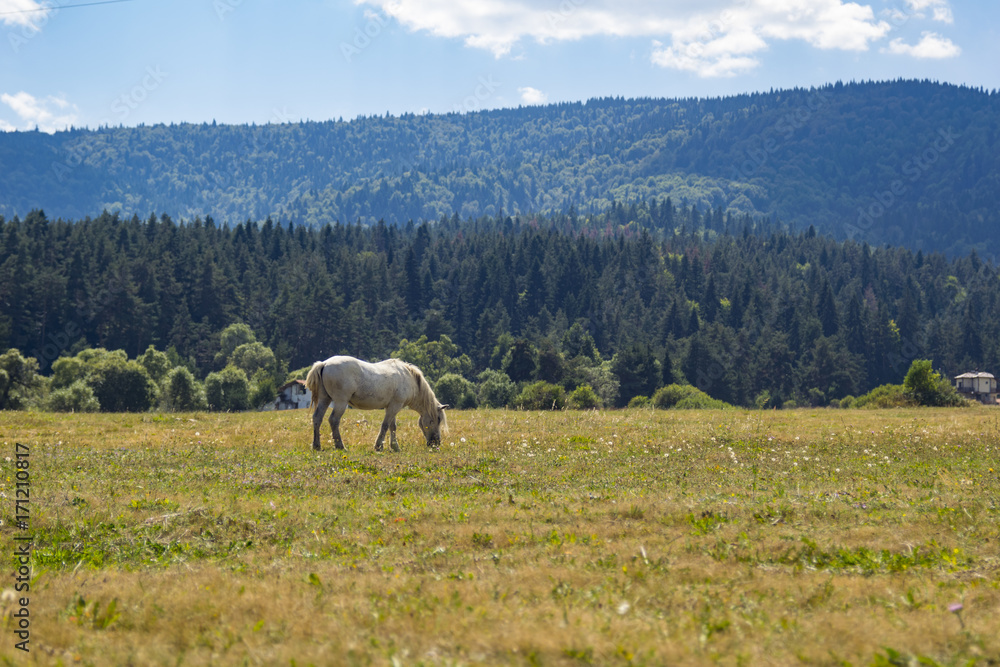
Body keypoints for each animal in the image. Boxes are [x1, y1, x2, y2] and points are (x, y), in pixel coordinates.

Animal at [304, 356, 448, 452]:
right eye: (438, 419)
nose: (436, 443)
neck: (409, 379)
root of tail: (324, 363)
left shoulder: (392, 407)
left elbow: (392, 426)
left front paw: (394, 446)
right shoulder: (395, 406)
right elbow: (385, 426)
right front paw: (379, 446)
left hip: (325, 399)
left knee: (317, 418)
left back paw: (316, 446)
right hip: (341, 402)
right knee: (333, 420)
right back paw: (340, 446)